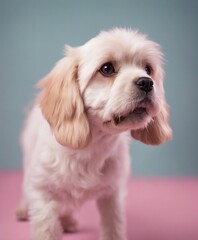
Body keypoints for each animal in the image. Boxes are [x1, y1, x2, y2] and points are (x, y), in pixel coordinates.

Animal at [16, 28, 172, 240]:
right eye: (107, 68)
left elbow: (113, 228)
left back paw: (67, 219)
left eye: (148, 69)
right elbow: (46, 228)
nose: (147, 82)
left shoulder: (113, 194)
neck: (91, 147)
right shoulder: (42, 192)